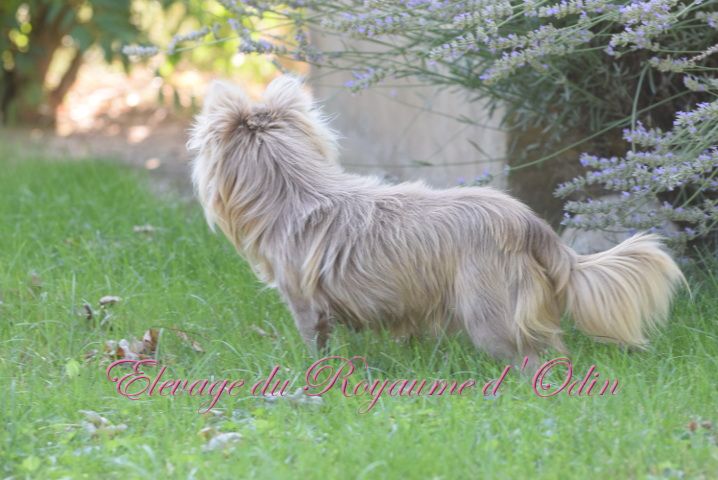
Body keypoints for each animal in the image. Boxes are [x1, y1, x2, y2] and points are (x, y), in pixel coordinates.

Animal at [188, 75, 685, 365]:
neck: (297, 190)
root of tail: (532, 227)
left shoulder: (305, 303)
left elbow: (315, 343)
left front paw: (315, 372)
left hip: (489, 312)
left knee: (532, 356)